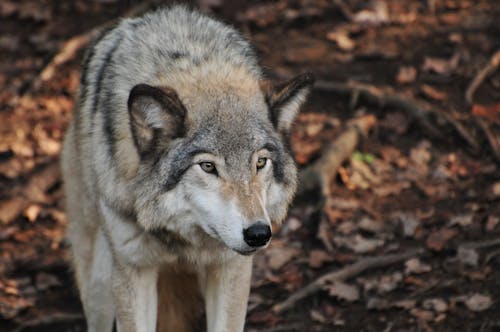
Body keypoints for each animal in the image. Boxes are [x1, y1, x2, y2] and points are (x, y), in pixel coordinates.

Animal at [60, 5, 314, 332]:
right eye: (207, 166)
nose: (258, 233)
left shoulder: (231, 267)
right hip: (100, 281)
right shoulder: (133, 270)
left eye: (260, 163)